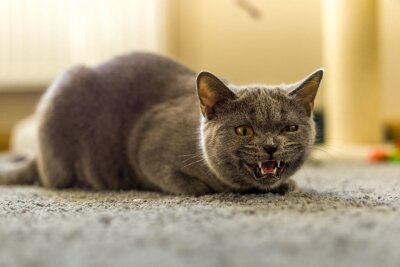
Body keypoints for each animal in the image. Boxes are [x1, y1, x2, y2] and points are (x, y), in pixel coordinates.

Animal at [0, 52, 322, 195]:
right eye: (244, 130)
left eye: (289, 128)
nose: (271, 146)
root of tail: (39, 158)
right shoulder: (146, 149)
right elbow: (185, 183)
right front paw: (205, 189)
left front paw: (287, 184)